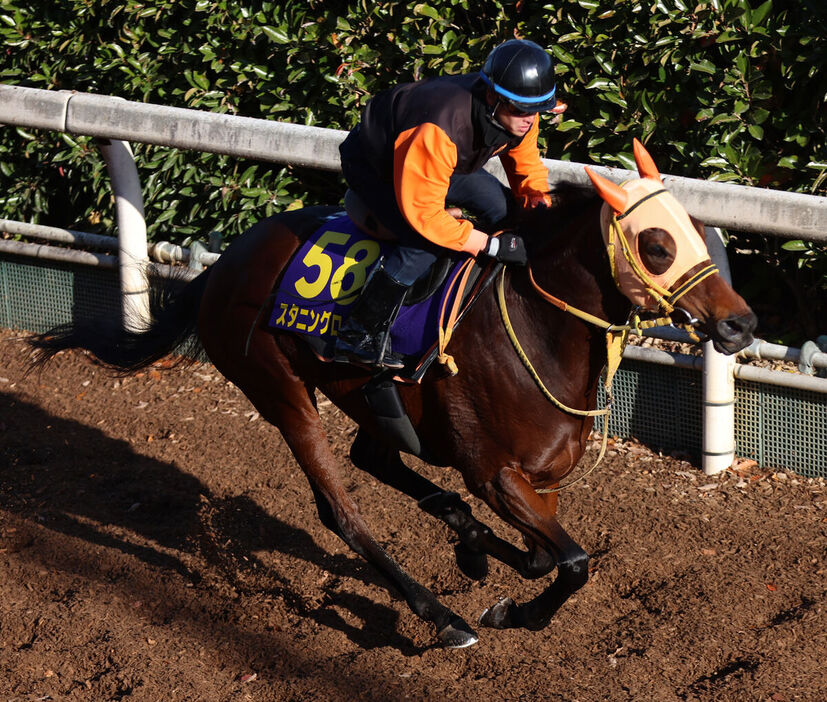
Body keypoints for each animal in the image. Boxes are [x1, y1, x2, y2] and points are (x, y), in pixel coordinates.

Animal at [30, 142, 756, 648]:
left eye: (697, 232)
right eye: (655, 244)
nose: (740, 324)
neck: (533, 327)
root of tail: (225, 264)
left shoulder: (541, 479)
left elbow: (545, 555)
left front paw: (486, 560)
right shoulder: (495, 473)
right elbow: (572, 563)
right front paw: (509, 611)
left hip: (368, 398)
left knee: (374, 461)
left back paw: (467, 544)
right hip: (280, 390)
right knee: (341, 511)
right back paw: (442, 617)